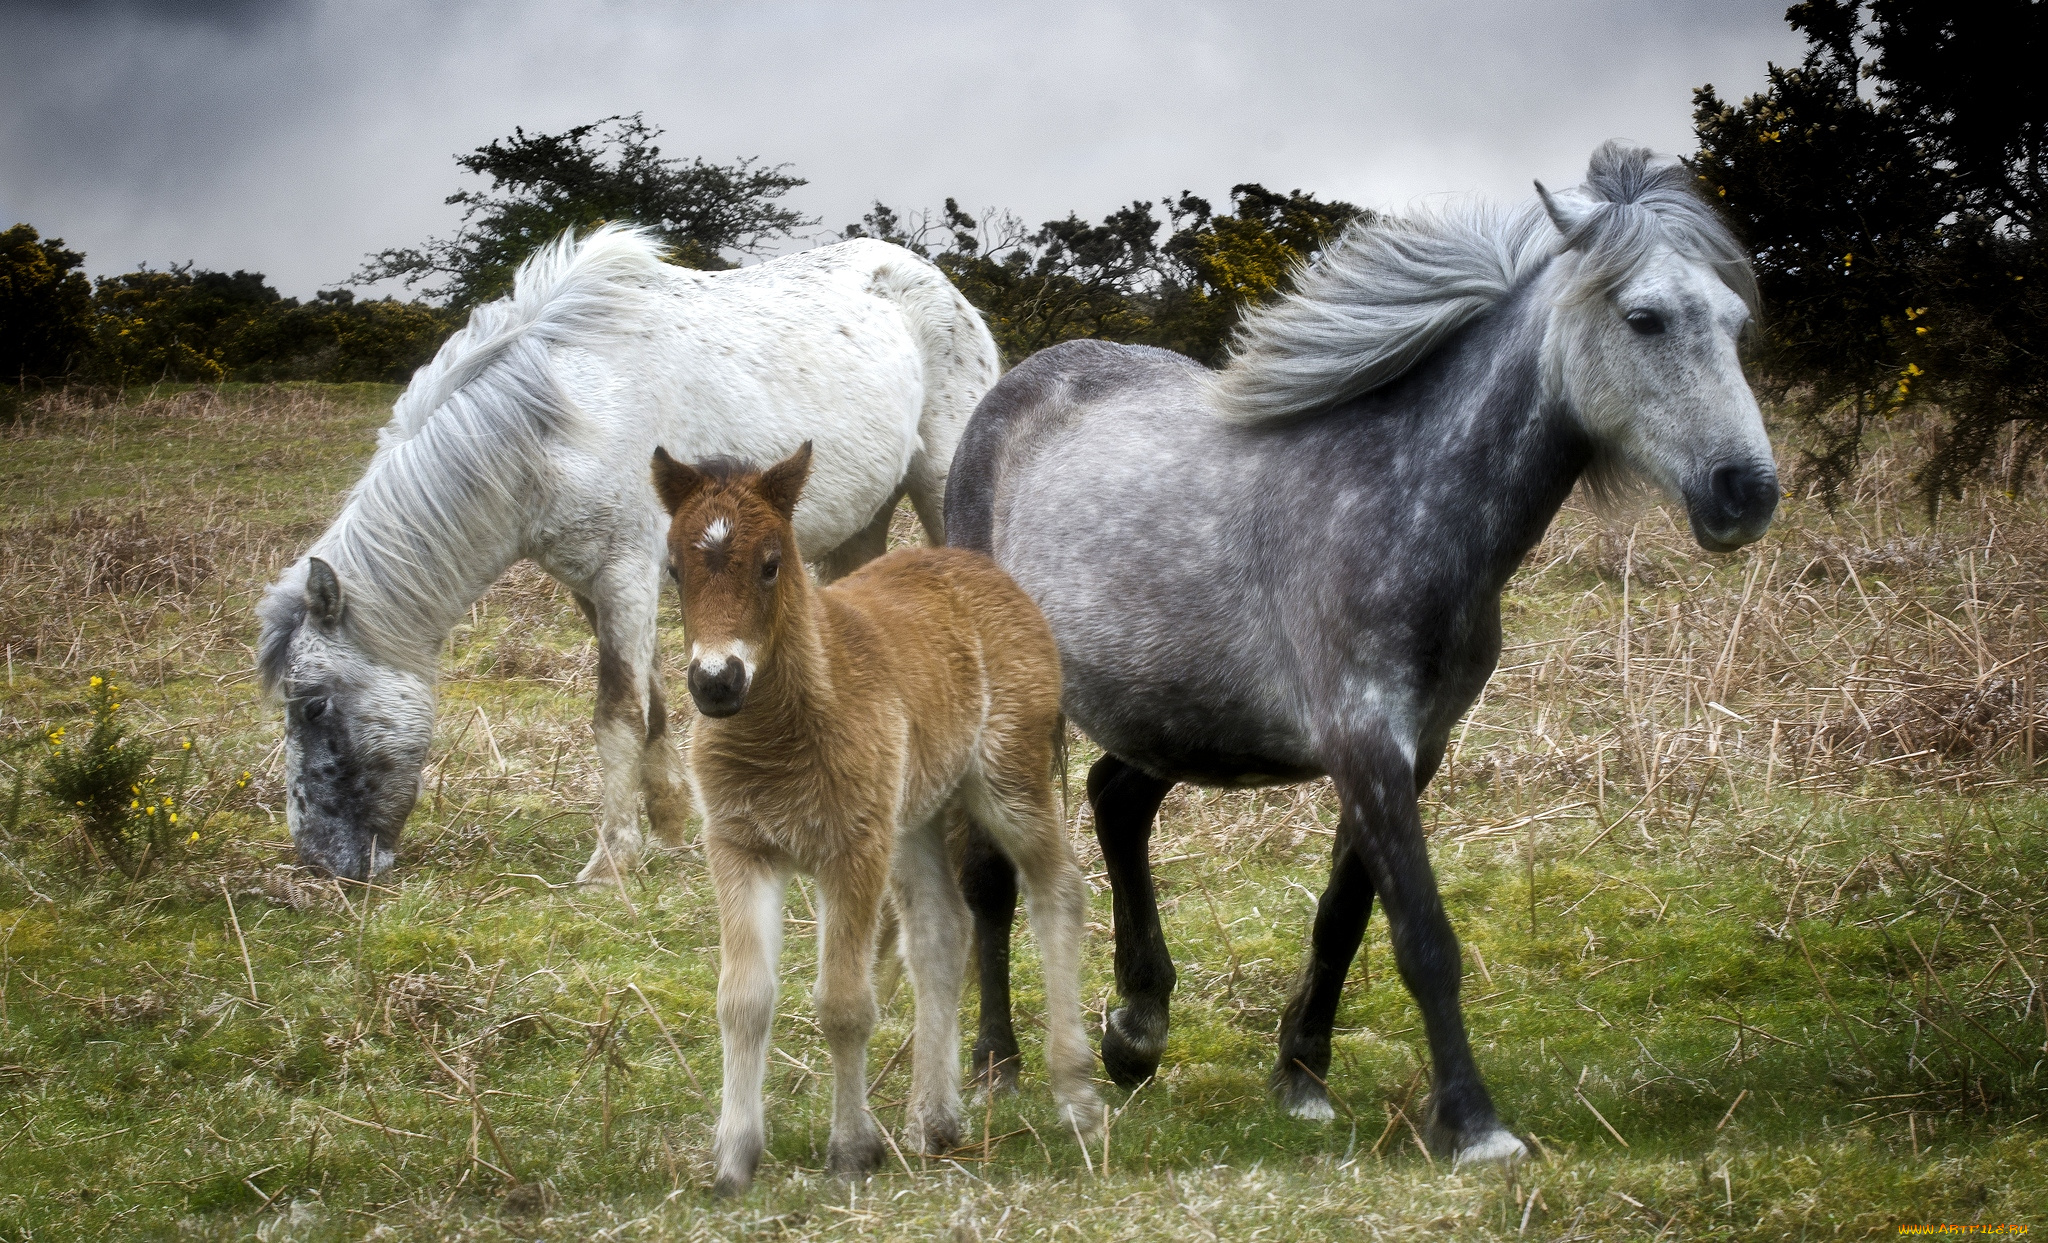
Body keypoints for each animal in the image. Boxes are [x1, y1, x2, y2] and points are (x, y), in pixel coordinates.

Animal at [256, 223, 999, 884]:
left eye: (313, 706)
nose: (321, 863)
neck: (564, 421)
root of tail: (936, 283)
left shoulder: (625, 576)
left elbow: (615, 713)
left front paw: (610, 861)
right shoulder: (593, 586)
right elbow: (653, 701)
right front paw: (670, 823)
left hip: (937, 486)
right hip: (859, 527)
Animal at [655, 442, 1105, 1187]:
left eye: (771, 562)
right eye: (672, 567)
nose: (717, 682)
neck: (782, 732)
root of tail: (980, 565)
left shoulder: (851, 849)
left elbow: (844, 1004)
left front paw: (850, 1151)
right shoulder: (740, 846)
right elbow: (742, 1000)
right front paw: (734, 1160)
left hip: (1006, 780)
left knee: (1058, 889)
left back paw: (1076, 1094)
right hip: (913, 817)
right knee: (942, 927)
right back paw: (935, 1120)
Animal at [946, 145, 1777, 1163]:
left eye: (1736, 321)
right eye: (1644, 317)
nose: (1746, 491)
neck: (1400, 493)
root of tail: (1010, 391)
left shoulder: (1413, 749)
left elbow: (1343, 917)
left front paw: (1300, 1075)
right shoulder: (1363, 735)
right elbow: (1422, 933)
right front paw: (1473, 1123)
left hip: (1171, 707)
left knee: (1117, 800)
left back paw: (1137, 1030)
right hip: (1012, 706)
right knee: (987, 876)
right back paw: (996, 1065)